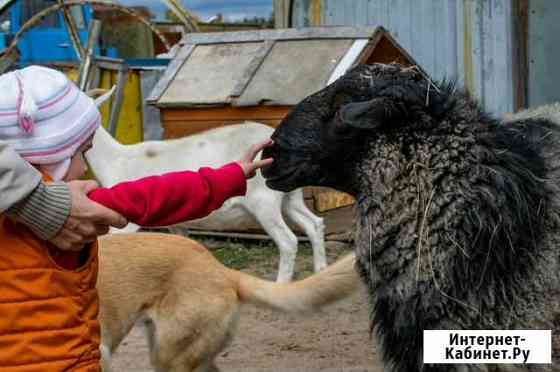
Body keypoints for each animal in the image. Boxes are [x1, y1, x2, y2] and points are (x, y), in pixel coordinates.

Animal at [85, 122, 326, 282]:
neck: (116, 160)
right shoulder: (177, 224)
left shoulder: (127, 223)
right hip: (291, 197)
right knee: (314, 223)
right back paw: (320, 272)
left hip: (264, 203)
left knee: (288, 241)